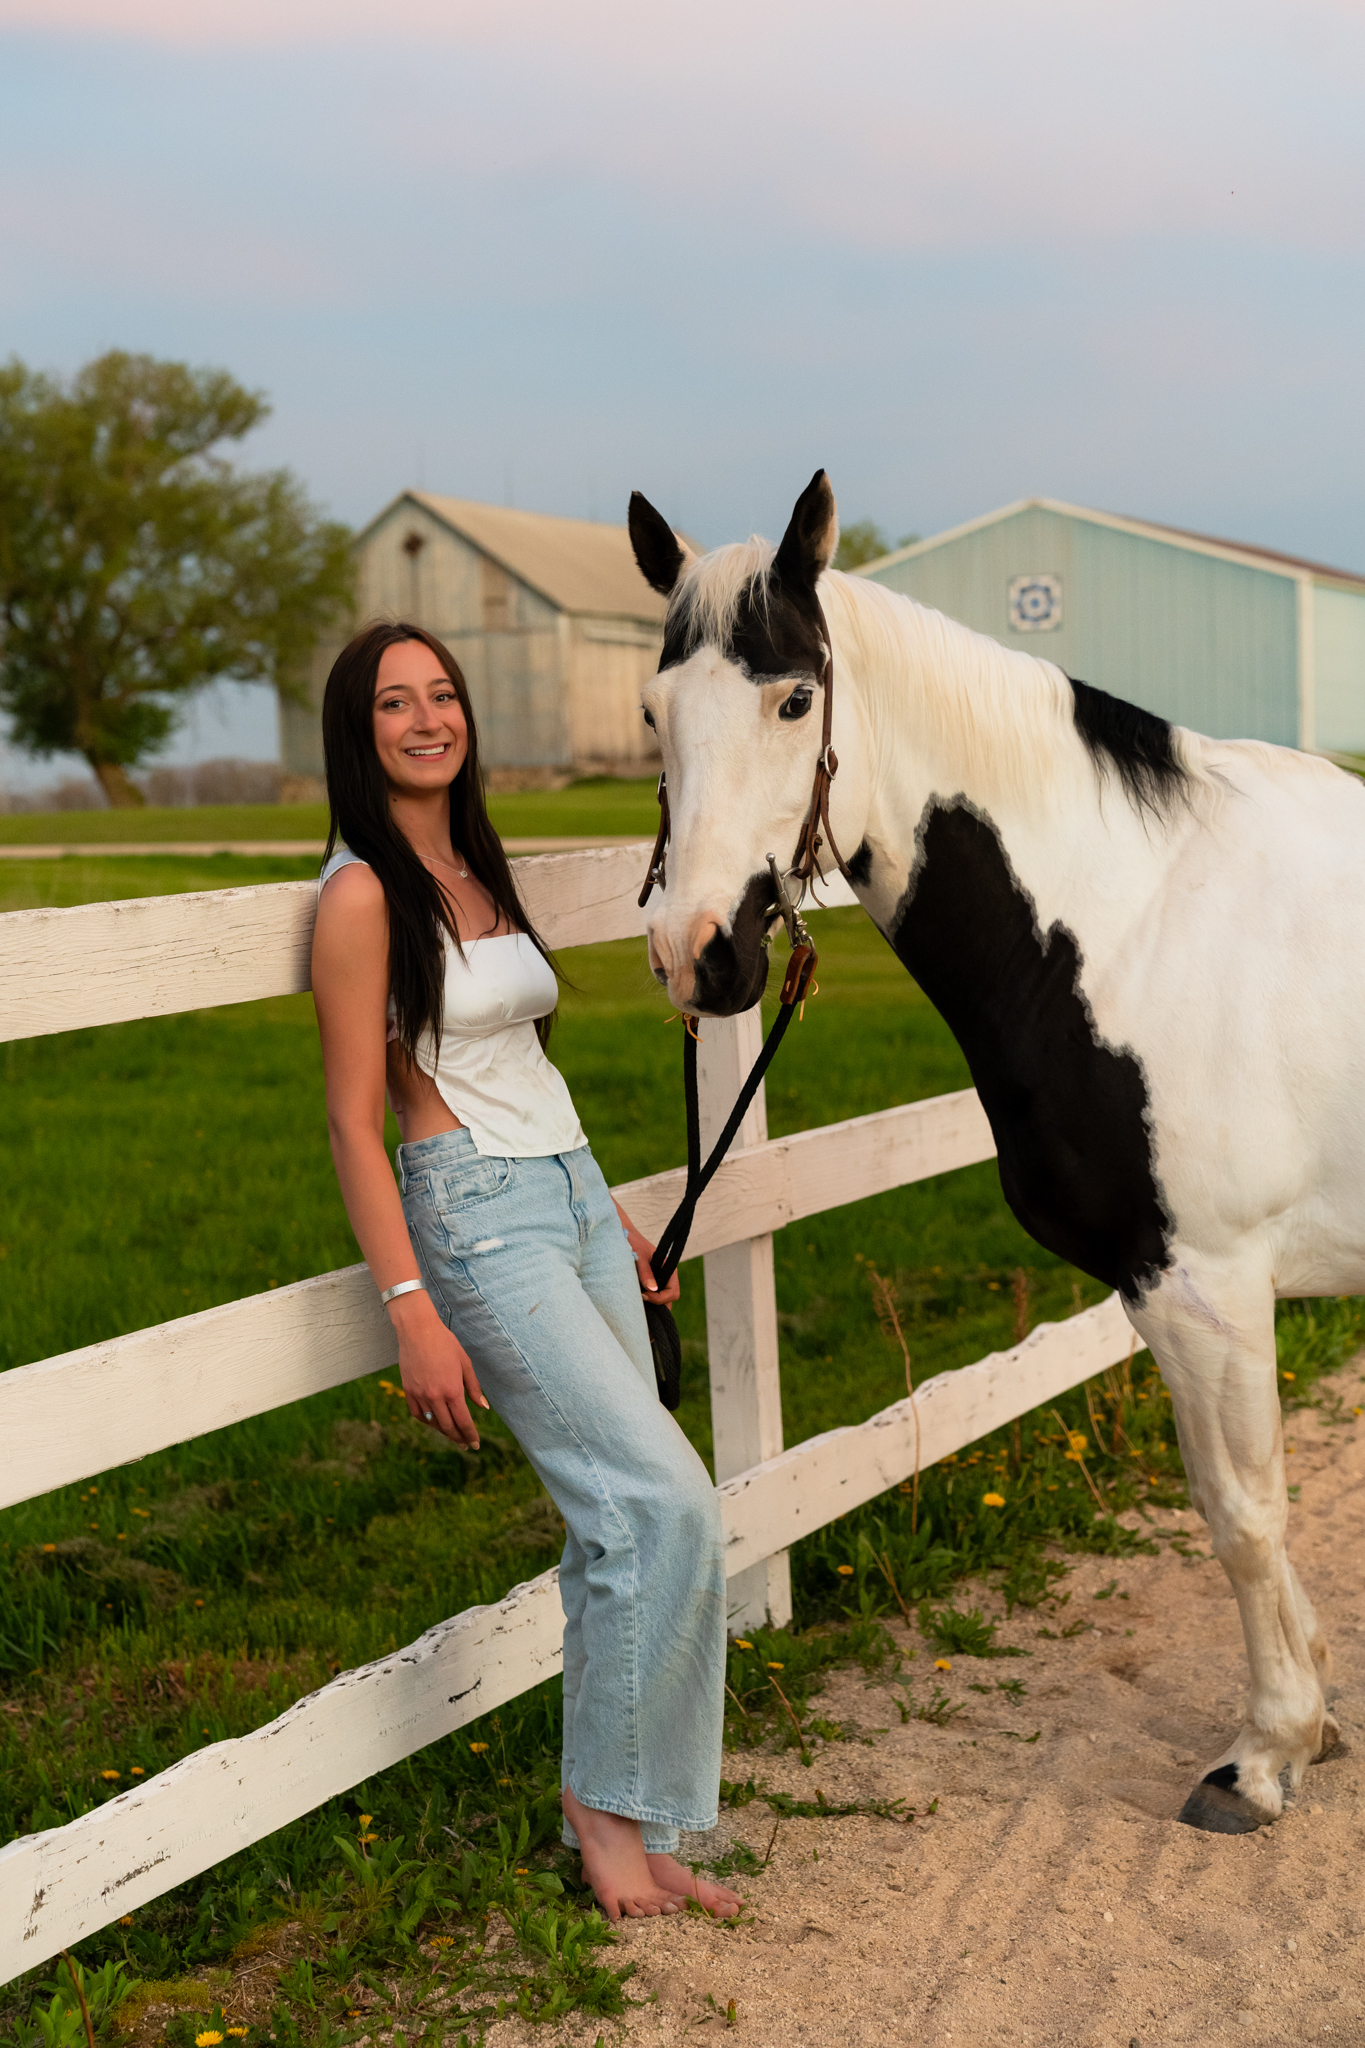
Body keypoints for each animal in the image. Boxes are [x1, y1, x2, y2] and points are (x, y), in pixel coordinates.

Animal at [626, 469, 1365, 1836]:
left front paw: (1263, 1755)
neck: (1136, 918)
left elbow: (1244, 1515)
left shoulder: (1210, 1283)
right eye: (654, 710)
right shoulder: (1184, 1294)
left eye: (793, 697)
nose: (695, 951)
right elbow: (1243, 1509)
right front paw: (1315, 1720)